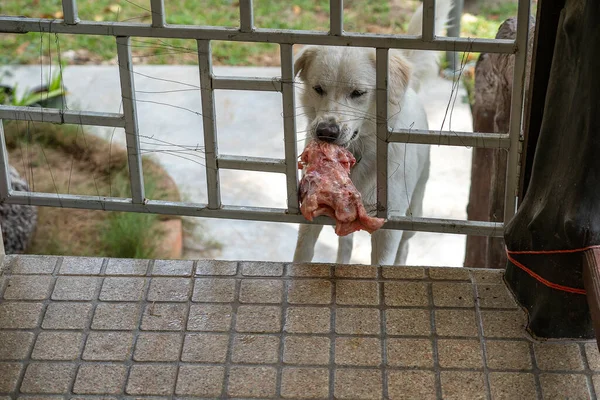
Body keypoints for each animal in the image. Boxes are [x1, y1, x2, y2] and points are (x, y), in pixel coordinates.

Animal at [292, 3, 452, 268]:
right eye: (318, 89)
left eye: (358, 93)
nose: (326, 133)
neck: (359, 153)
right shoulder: (312, 213)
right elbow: (302, 254)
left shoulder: (389, 227)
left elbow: (383, 263)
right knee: (345, 243)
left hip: (414, 212)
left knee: (405, 247)